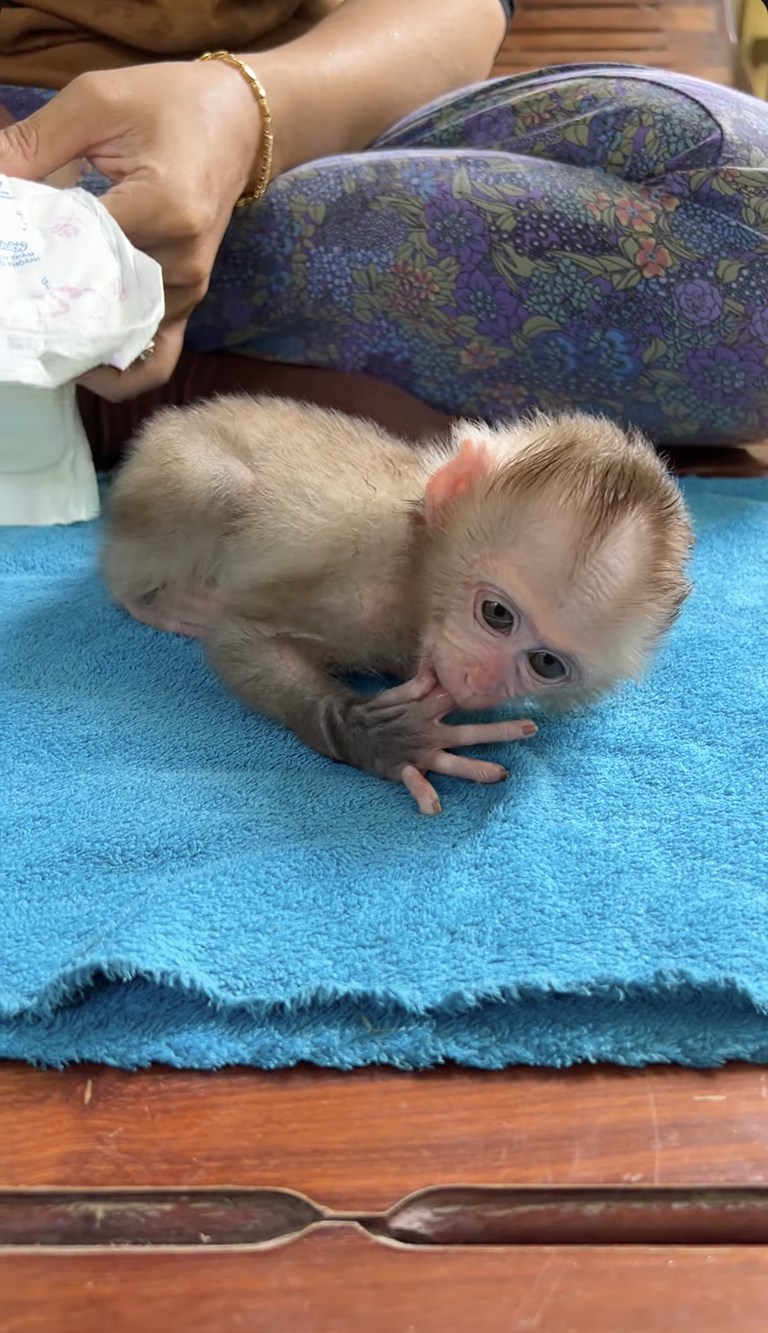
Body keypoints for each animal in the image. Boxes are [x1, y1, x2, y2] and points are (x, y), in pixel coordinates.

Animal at [101, 396, 693, 814]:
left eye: (546, 663)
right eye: (496, 614)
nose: (480, 681)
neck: (416, 579)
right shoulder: (359, 582)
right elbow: (238, 637)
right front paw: (393, 739)